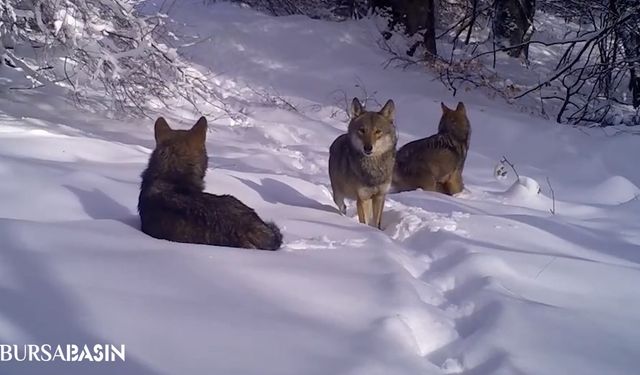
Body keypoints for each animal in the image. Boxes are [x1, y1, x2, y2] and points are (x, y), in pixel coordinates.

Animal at [328, 97, 398, 229]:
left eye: (378, 131)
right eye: (362, 130)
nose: (368, 148)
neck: (373, 169)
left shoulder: (379, 197)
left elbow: (376, 223)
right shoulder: (362, 198)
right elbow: (364, 221)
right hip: (338, 195)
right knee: (342, 206)